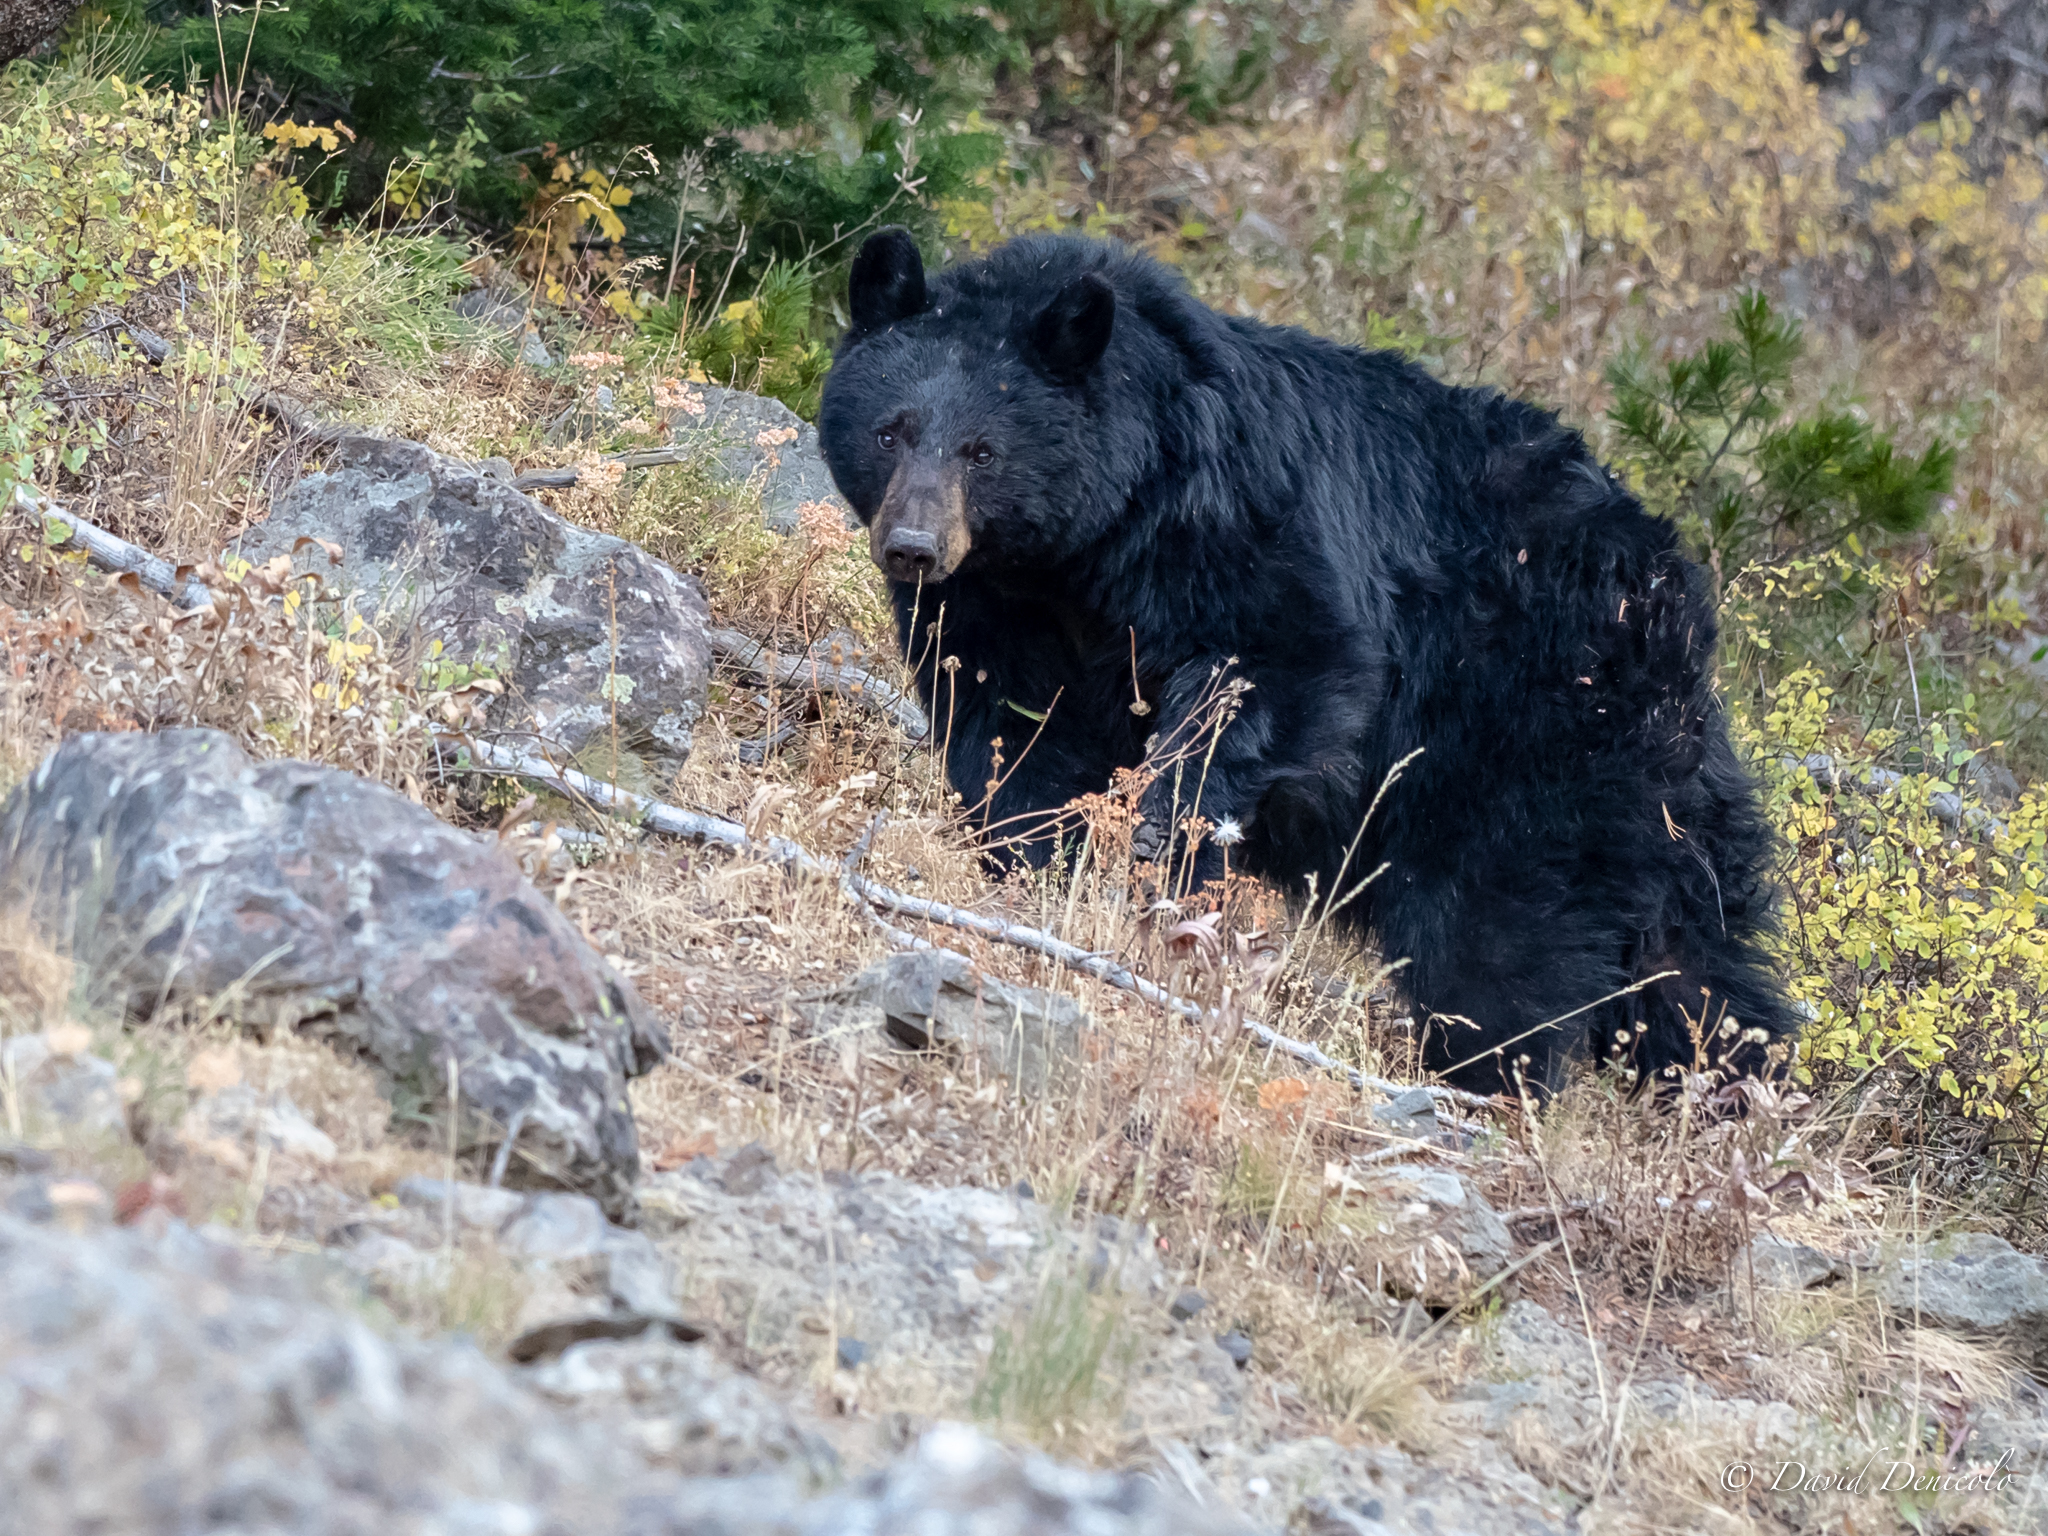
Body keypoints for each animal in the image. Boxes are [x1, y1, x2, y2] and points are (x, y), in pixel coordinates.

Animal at [817, 228, 1794, 1097]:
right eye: (891, 431)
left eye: (982, 451)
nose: (913, 546)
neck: (1091, 542)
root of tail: (1675, 594)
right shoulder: (1001, 608)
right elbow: (1012, 727)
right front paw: (1036, 852)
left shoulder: (1240, 522)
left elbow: (1282, 665)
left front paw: (1163, 836)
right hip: (1655, 793)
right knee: (1695, 957)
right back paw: (1730, 1081)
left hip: (1530, 733)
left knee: (1502, 935)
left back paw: (1494, 1074)